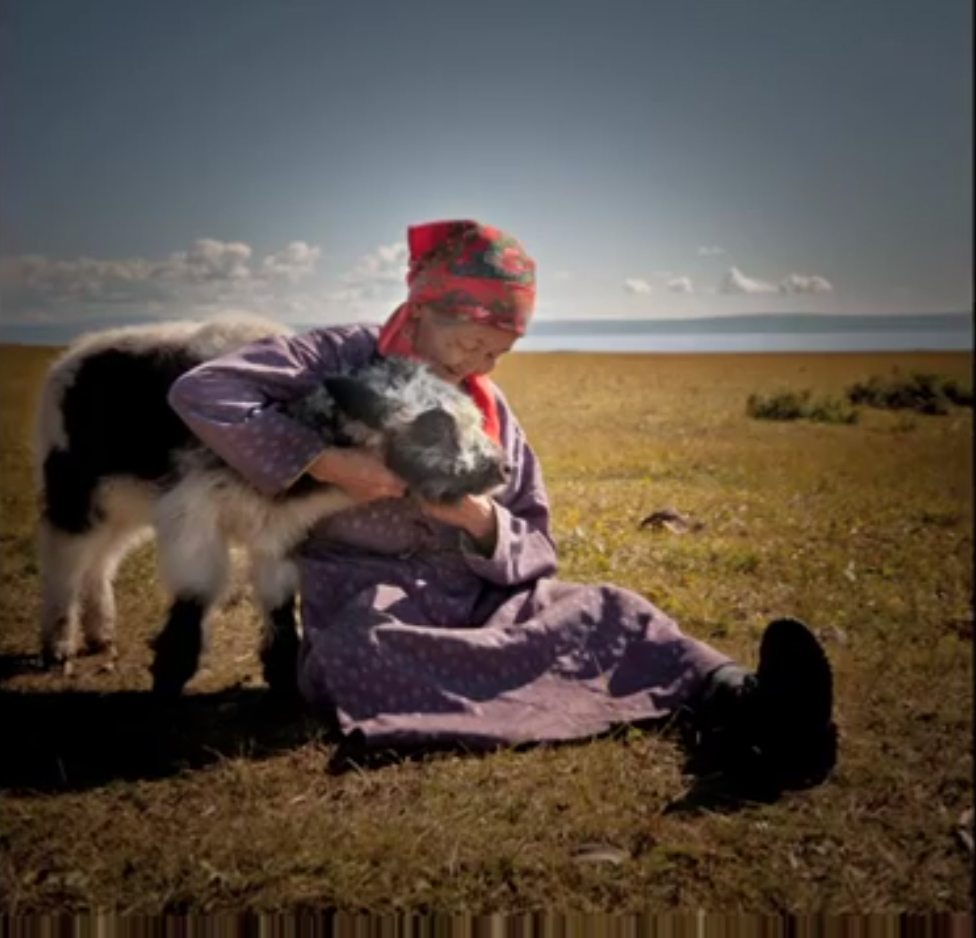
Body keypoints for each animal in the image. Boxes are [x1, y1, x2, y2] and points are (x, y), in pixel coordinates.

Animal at [36, 318, 510, 692]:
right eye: (434, 428)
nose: (502, 467)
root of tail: (74, 354)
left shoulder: (282, 529)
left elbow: (279, 596)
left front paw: (284, 677)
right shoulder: (194, 516)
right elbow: (196, 590)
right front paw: (171, 673)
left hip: (125, 501)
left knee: (102, 560)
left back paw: (100, 633)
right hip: (75, 489)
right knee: (65, 558)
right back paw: (58, 645)